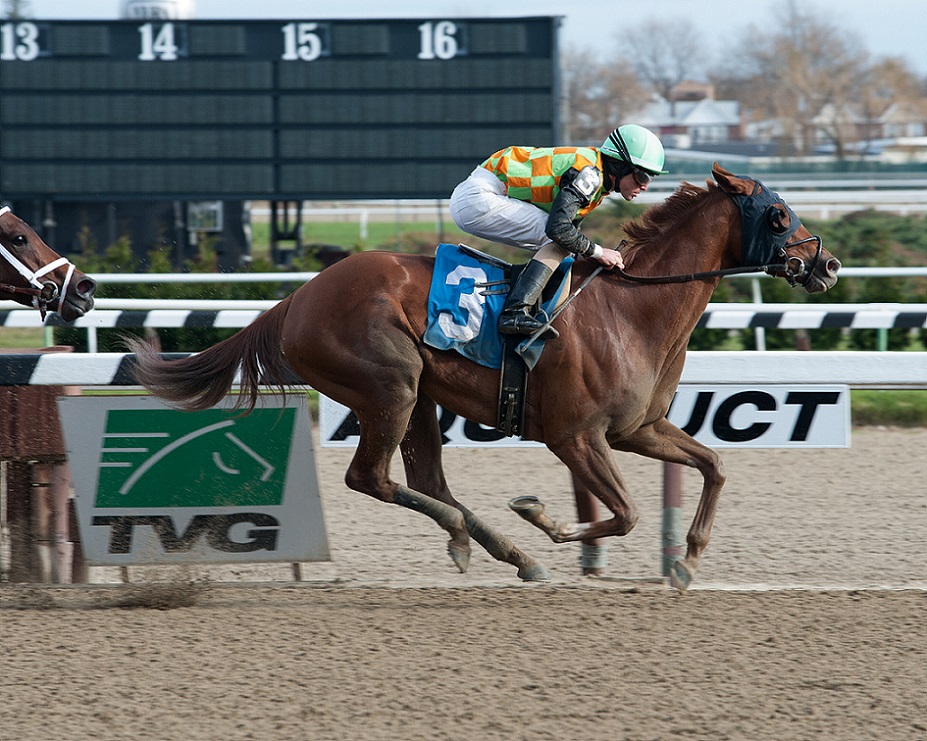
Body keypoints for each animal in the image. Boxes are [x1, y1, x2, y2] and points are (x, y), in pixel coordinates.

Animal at [126, 164, 840, 590]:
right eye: (779, 216)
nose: (827, 265)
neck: (631, 308)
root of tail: (296, 298)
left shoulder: (637, 428)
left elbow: (714, 465)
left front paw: (687, 561)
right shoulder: (575, 437)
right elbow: (627, 513)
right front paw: (547, 520)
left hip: (416, 397)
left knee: (423, 481)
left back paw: (504, 551)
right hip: (390, 386)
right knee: (372, 478)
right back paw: (485, 541)